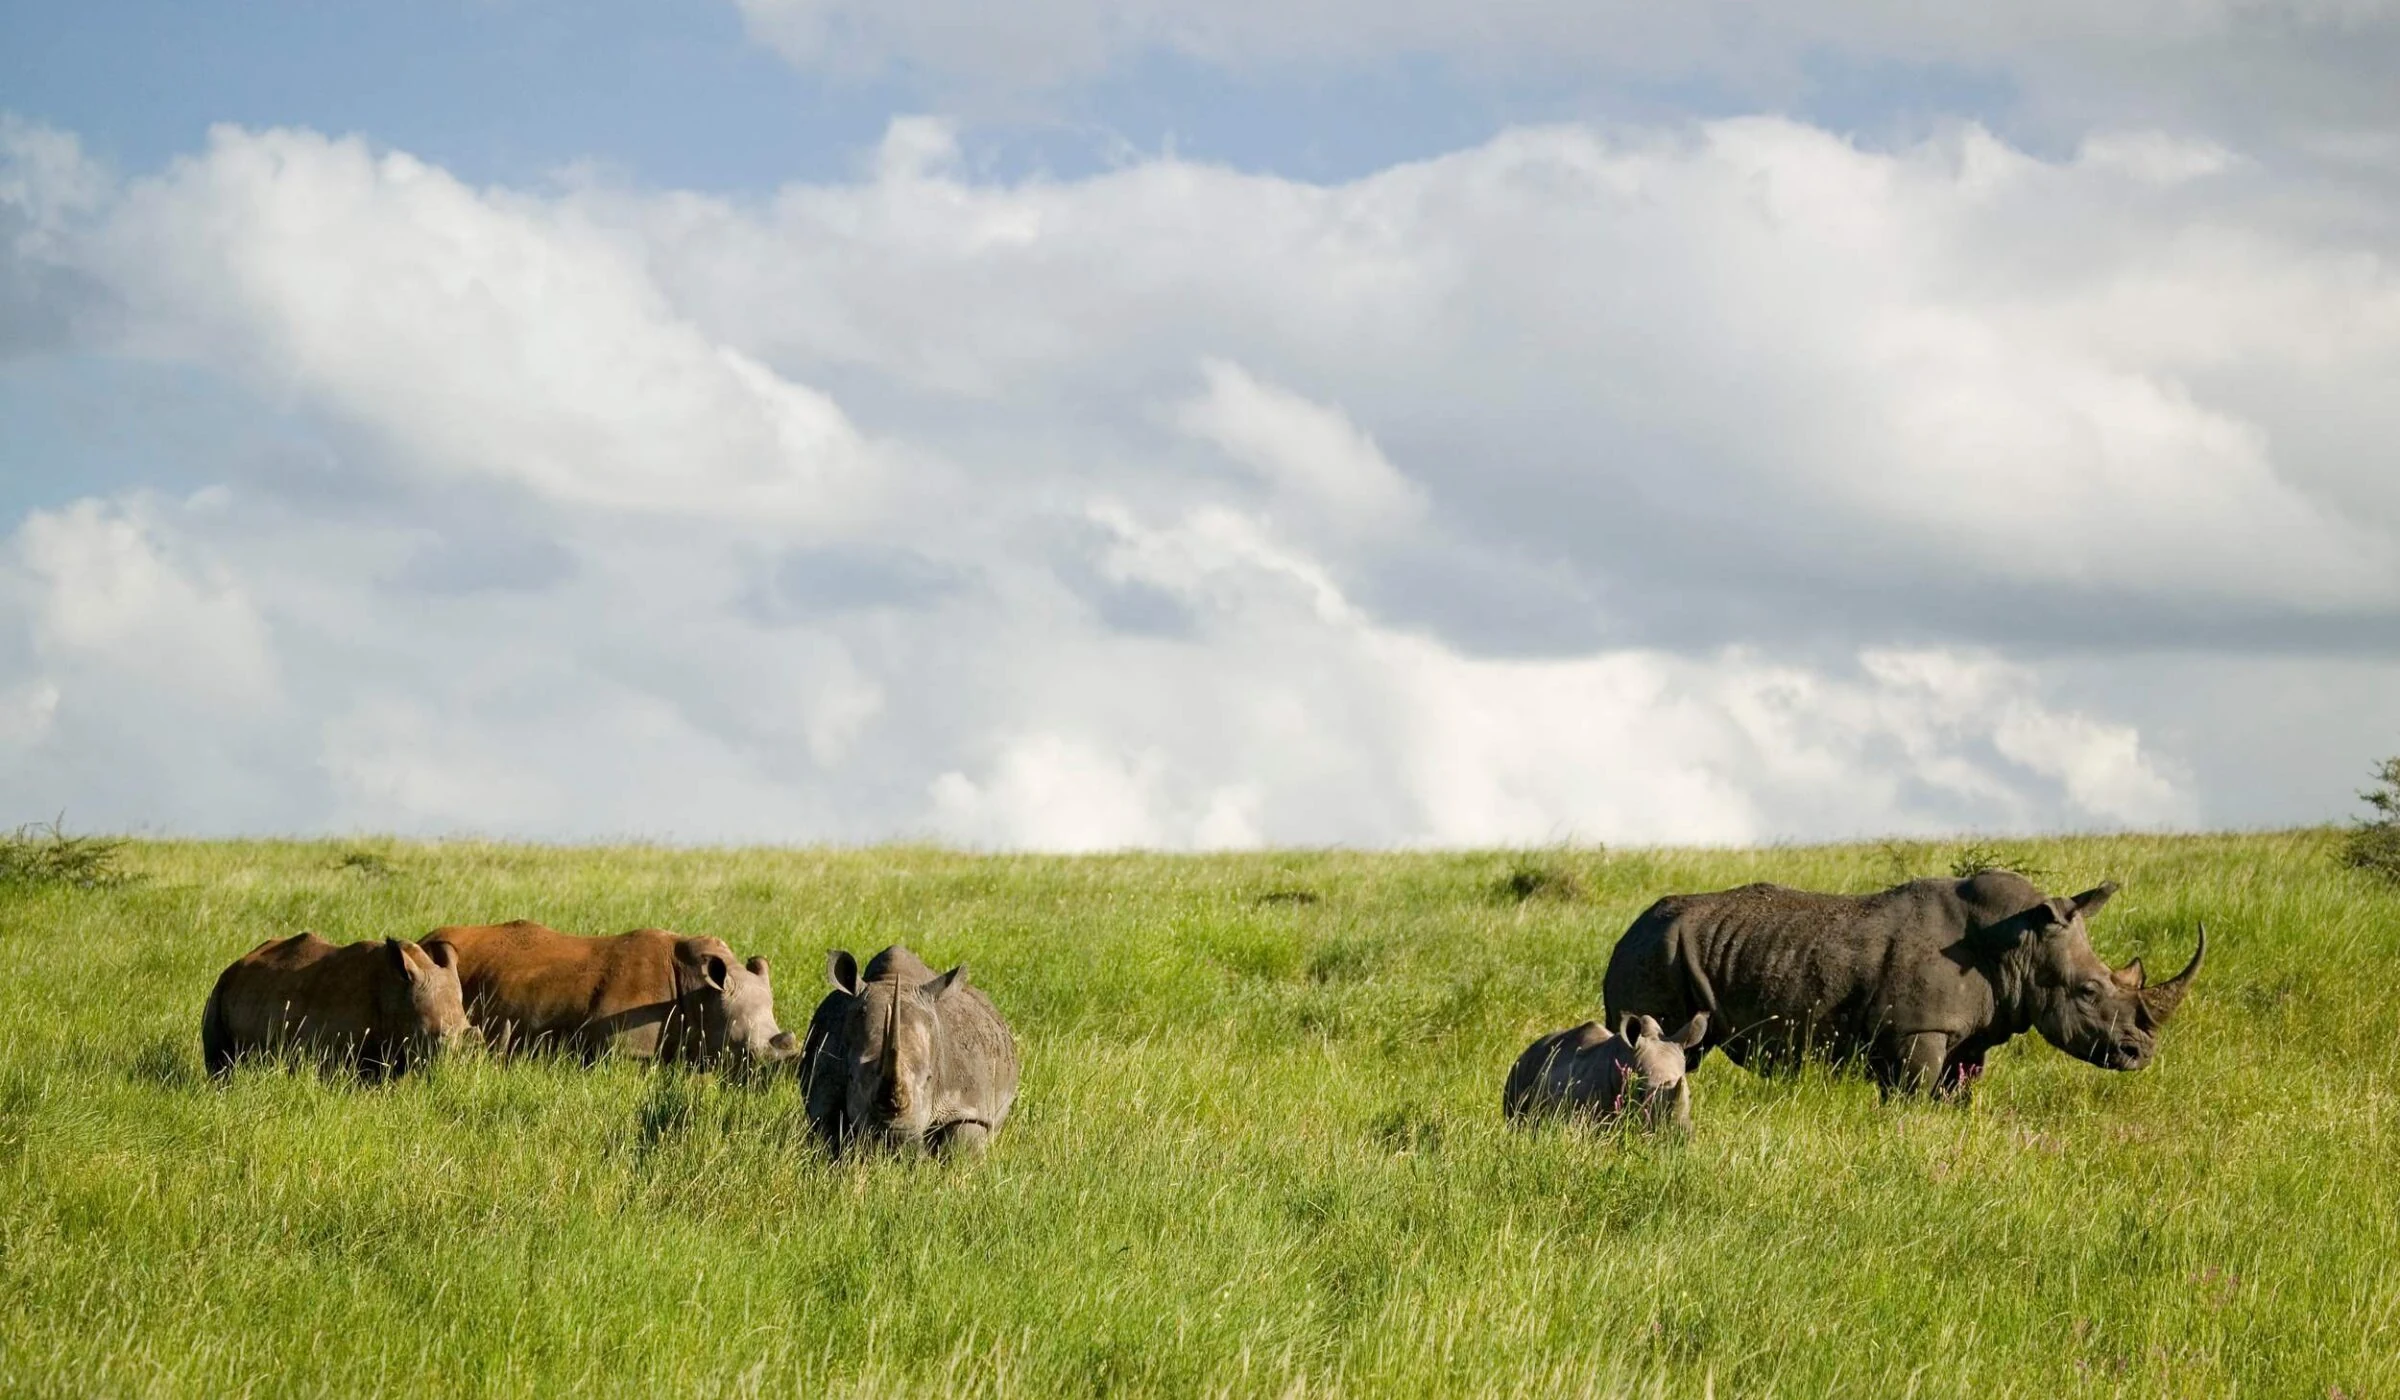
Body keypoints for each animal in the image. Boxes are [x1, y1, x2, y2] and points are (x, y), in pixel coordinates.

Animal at [202, 932, 476, 1079]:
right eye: (437, 1037)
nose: (459, 1068)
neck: (396, 994)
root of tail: (238, 961)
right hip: (218, 990)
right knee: (221, 1065)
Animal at [800, 945, 1019, 1156]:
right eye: (851, 1077)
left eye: (929, 1078)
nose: (893, 1141)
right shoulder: (824, 1088)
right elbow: (830, 1134)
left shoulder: (967, 1104)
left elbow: (962, 1145)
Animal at [1601, 870, 2202, 1096]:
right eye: (2089, 992)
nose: (2141, 1053)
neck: (2020, 945)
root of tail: (1627, 929)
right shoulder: (1918, 1030)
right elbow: (1914, 1093)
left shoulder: (1969, 1036)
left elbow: (1954, 1092)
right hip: (1653, 951)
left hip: (1663, 947)